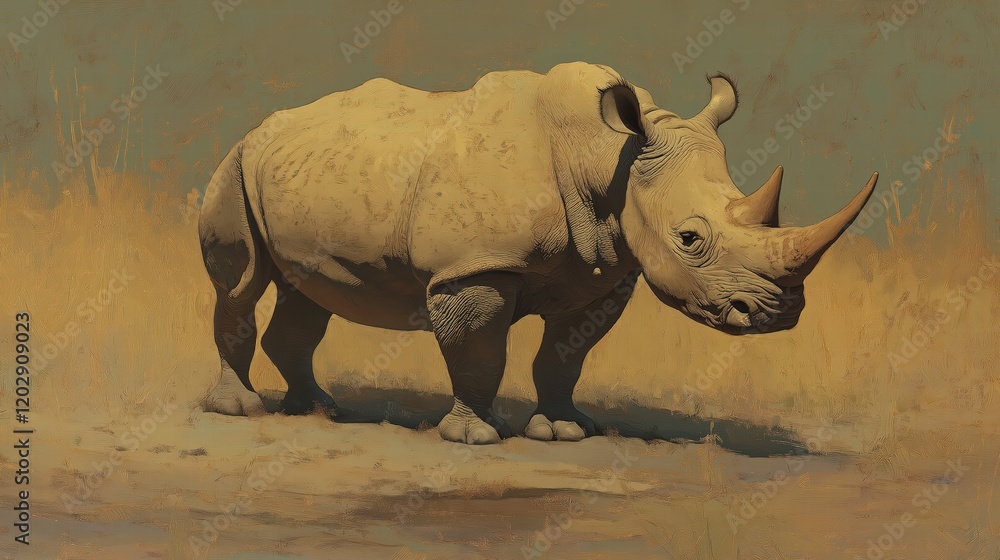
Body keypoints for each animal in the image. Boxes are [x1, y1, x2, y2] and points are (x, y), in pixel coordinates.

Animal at [199, 62, 877, 444]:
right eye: (690, 239)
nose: (778, 314)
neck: (606, 156)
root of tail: (260, 126)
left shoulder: (605, 269)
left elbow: (565, 356)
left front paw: (566, 431)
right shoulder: (474, 267)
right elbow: (478, 350)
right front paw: (476, 437)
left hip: (303, 168)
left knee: (306, 292)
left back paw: (318, 410)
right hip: (235, 162)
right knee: (242, 284)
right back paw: (239, 410)